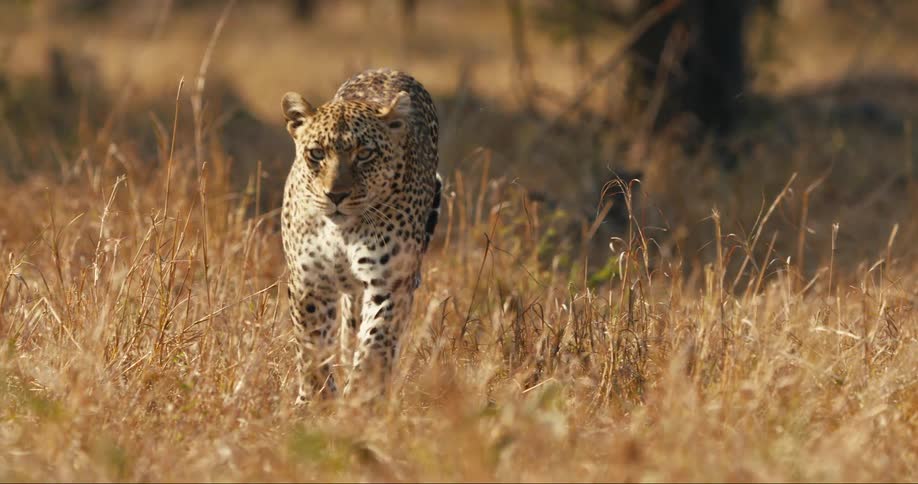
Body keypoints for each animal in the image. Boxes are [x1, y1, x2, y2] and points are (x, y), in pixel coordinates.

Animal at [280, 68, 441, 405]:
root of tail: (388, 69)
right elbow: (312, 347)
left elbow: (375, 346)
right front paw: (315, 400)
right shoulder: (309, 281)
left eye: (365, 154)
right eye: (317, 153)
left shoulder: (390, 283)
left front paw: (360, 399)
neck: (341, 232)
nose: (336, 195)